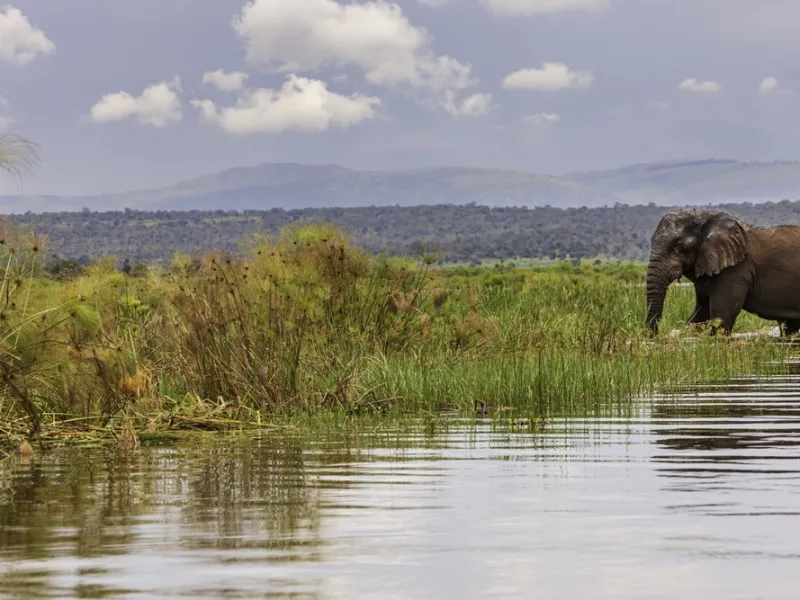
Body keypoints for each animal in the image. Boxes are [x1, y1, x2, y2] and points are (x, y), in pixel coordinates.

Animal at [645, 208, 800, 336]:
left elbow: (722, 315)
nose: (654, 335)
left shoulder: (736, 268)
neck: (703, 217)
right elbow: (701, 313)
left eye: (678, 246)